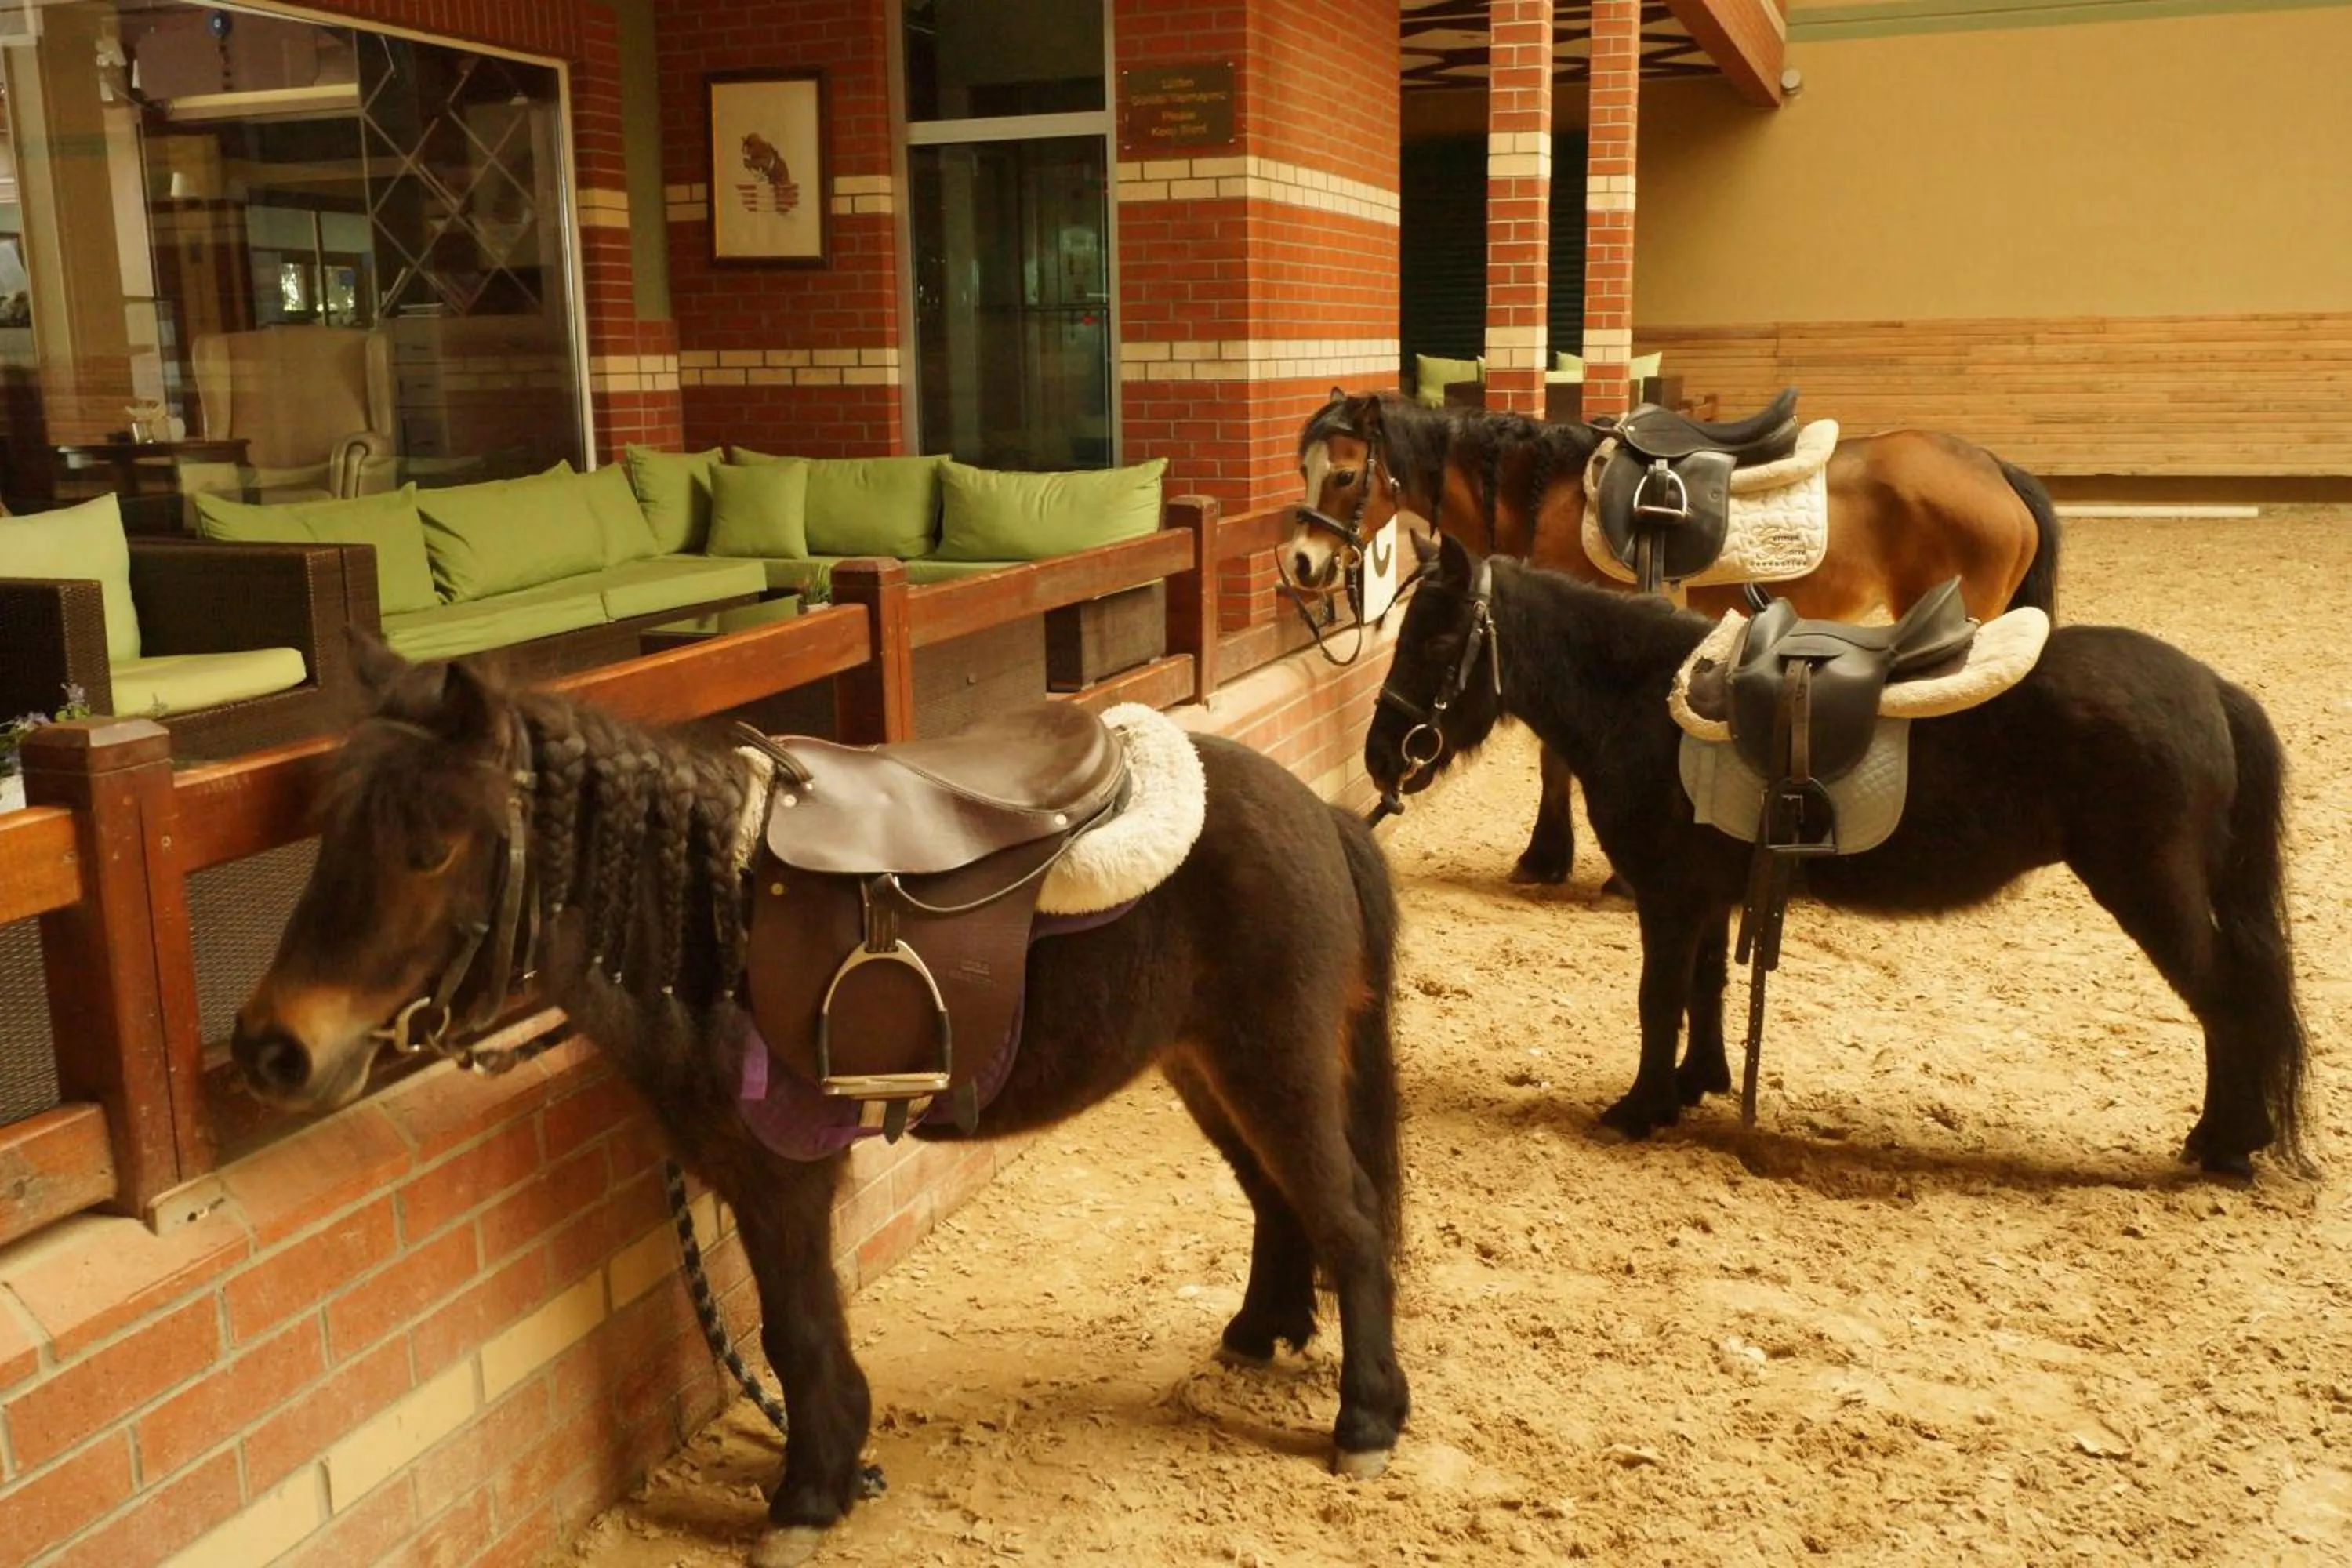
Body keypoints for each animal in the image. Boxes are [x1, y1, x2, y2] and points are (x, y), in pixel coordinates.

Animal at [228, 641, 1411, 1567]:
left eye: (430, 846)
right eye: (328, 836)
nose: (270, 1048)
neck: (710, 920)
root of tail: (1316, 813)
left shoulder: (781, 1169)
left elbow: (794, 1326)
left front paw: (805, 1494)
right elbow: (803, 1325)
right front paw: (835, 1466)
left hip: (1274, 1063)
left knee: (1349, 1216)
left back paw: (1366, 1416)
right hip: (1207, 1065)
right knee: (1279, 1200)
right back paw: (1260, 1331)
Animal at [1291, 390, 2063, 887]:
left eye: (1345, 472)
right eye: (1306, 468)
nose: (1301, 562)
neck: (1550, 498)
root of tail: (1994, 468)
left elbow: (1553, 756)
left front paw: (1554, 859)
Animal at [1366, 532, 2308, 1178]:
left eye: (1437, 644)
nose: (1380, 757)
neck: (1643, 698)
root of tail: (2209, 687)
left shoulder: (1667, 897)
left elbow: (1657, 999)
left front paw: (1639, 1106)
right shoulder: (1709, 896)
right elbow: (1707, 989)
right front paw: (1699, 1082)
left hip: (2151, 891)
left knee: (2226, 1001)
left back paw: (2225, 1143)